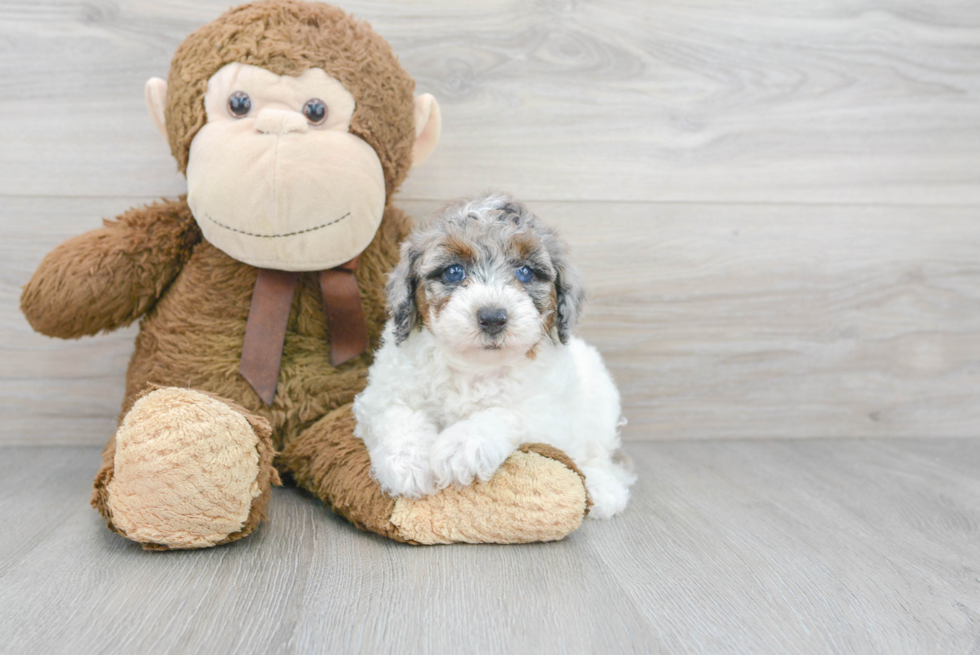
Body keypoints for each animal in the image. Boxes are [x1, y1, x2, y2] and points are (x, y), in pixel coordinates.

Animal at [352, 192, 636, 520]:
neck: (474, 366)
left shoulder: (549, 416)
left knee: (599, 455)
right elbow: (397, 414)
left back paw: (603, 489)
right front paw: (408, 464)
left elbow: (507, 413)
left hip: (601, 401)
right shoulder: (380, 395)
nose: (492, 317)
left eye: (525, 272)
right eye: (454, 272)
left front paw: (461, 447)